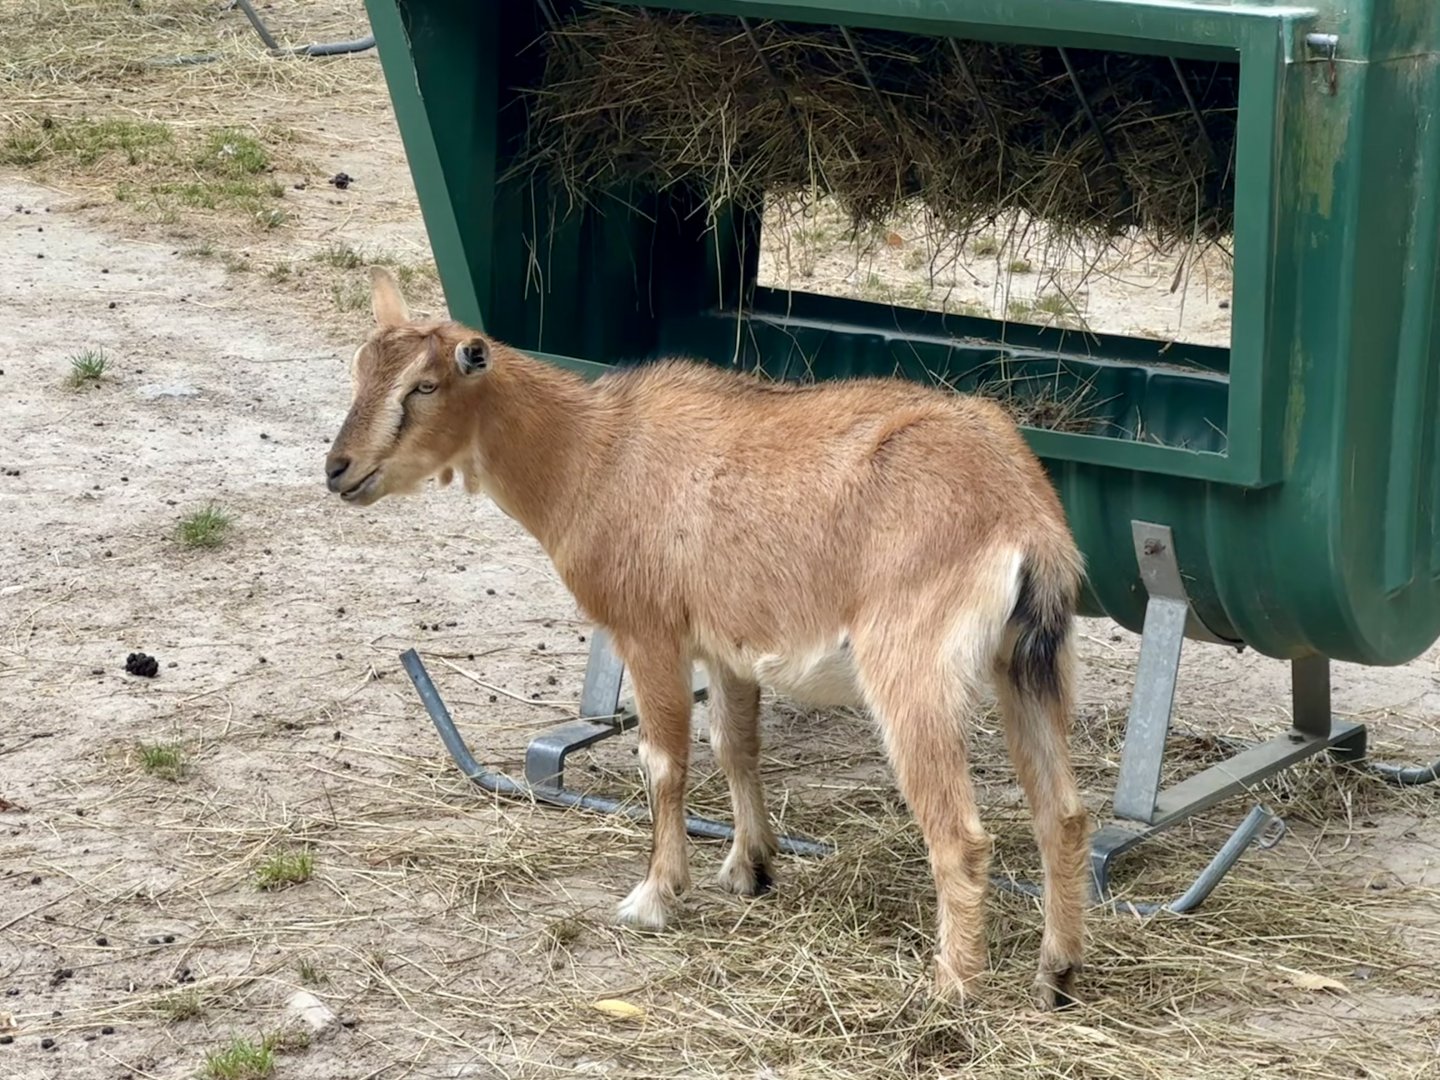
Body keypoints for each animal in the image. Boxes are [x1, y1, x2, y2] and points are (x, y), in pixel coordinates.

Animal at [324, 267, 1091, 1007]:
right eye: (359, 372)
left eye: (424, 386)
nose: (338, 470)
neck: (590, 458)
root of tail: (1024, 518)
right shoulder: (727, 646)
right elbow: (735, 746)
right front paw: (749, 869)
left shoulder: (648, 631)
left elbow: (664, 762)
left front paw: (655, 897)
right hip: (1031, 664)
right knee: (1063, 814)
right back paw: (1055, 976)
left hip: (914, 670)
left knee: (960, 834)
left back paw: (952, 988)